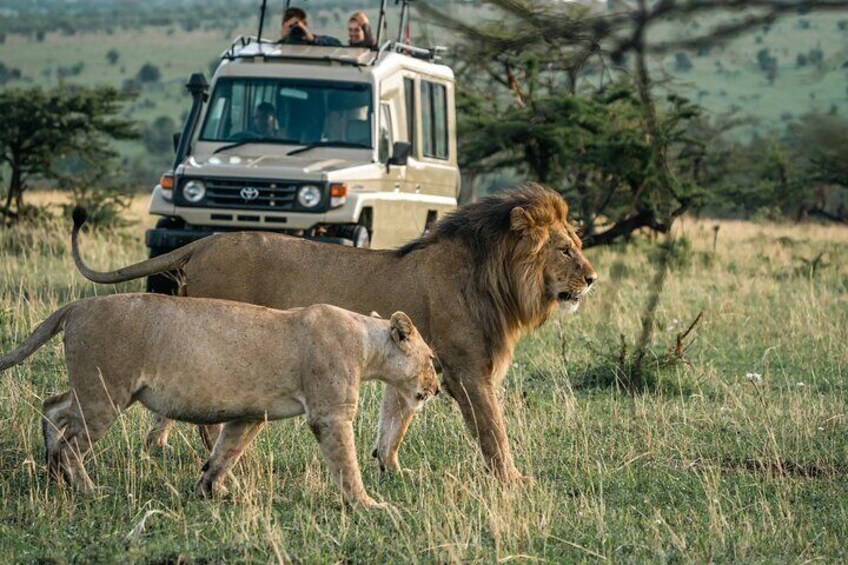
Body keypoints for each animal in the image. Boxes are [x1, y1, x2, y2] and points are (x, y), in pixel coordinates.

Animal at [76, 183, 600, 478]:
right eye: (565, 250)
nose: (593, 278)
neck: (495, 278)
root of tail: (205, 241)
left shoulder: (413, 363)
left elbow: (394, 421)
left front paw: (391, 469)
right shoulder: (468, 372)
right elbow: (493, 431)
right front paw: (511, 481)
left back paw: (160, 448)